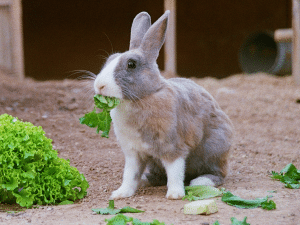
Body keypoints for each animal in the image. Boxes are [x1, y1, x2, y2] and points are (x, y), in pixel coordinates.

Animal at [92, 10, 233, 200]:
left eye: (131, 64)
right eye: (109, 59)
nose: (100, 85)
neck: (144, 96)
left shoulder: (173, 148)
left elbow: (175, 172)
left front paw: (175, 194)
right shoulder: (133, 153)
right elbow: (129, 174)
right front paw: (120, 194)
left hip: (214, 149)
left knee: (219, 173)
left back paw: (200, 181)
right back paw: (144, 180)